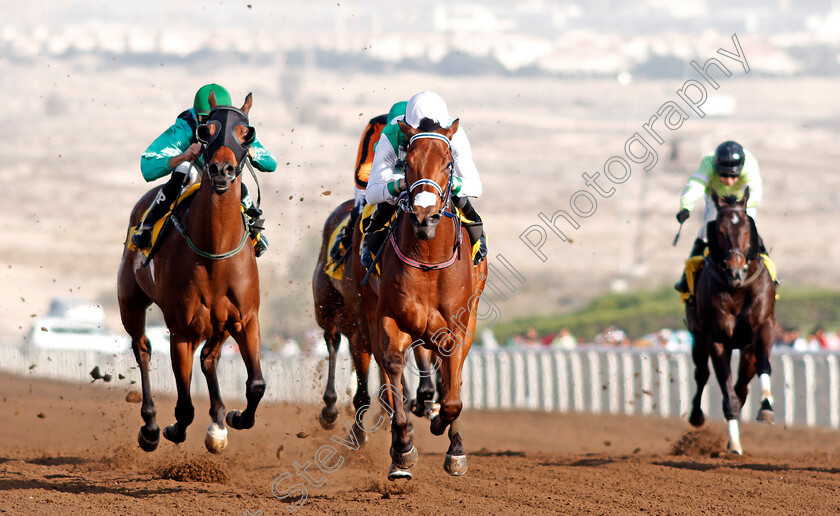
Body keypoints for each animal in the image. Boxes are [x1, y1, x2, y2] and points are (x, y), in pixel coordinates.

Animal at [118, 93, 266, 456]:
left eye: (247, 134)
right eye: (205, 130)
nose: (222, 169)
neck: (215, 253)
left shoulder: (245, 319)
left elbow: (256, 384)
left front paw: (235, 418)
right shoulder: (181, 329)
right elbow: (184, 406)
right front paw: (169, 429)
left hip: (220, 323)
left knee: (210, 358)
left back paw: (218, 421)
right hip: (130, 301)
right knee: (142, 349)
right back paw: (151, 425)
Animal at [352, 118, 488, 480]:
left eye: (449, 163)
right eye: (407, 163)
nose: (425, 217)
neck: (428, 258)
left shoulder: (457, 324)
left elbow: (453, 394)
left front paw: (445, 429)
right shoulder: (389, 317)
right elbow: (393, 368)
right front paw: (402, 448)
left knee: (450, 376)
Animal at [688, 188, 776, 452]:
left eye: (747, 227)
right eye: (719, 230)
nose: (735, 271)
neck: (737, 288)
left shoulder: (763, 328)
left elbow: (764, 366)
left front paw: (766, 408)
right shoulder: (717, 340)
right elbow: (727, 395)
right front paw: (735, 446)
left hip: (746, 350)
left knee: (742, 387)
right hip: (698, 338)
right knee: (702, 374)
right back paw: (697, 417)